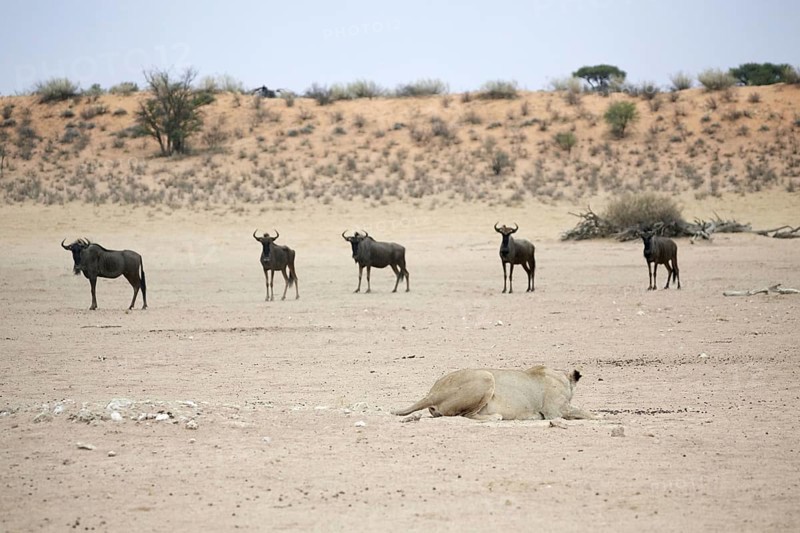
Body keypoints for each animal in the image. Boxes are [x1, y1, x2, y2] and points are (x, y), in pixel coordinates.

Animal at [392, 365, 592, 421]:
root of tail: (432, 393)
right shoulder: (554, 411)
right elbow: (585, 412)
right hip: (486, 377)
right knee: (466, 415)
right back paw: (495, 417)